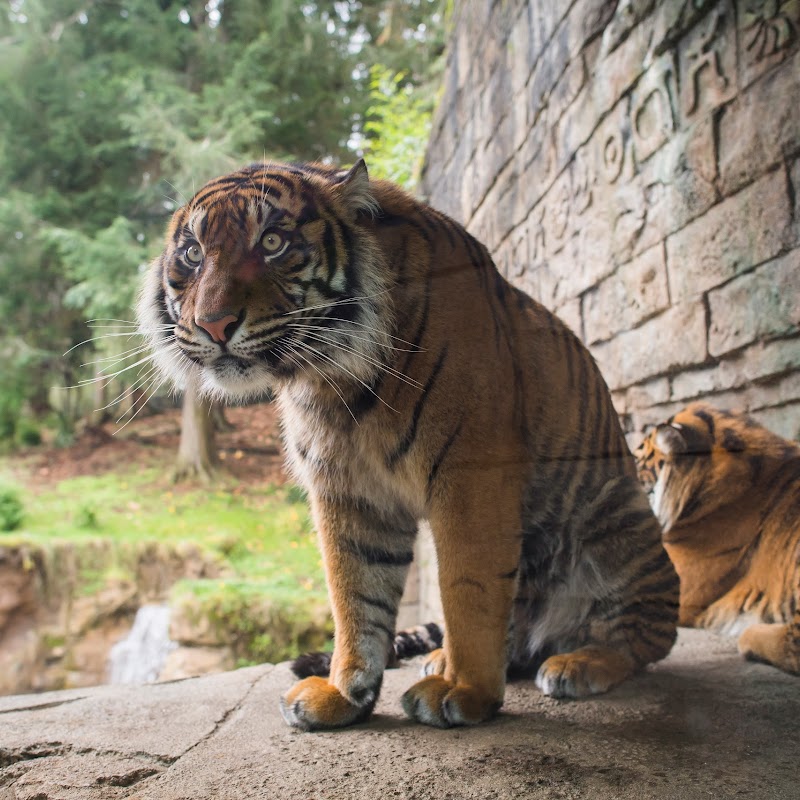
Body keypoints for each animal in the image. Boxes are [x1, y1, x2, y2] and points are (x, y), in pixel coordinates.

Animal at [141, 159, 680, 728]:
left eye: (272, 242)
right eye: (193, 254)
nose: (213, 324)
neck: (331, 378)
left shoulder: (473, 476)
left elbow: (468, 589)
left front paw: (465, 692)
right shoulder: (349, 492)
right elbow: (355, 597)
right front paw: (344, 694)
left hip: (618, 530)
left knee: (643, 639)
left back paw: (576, 664)